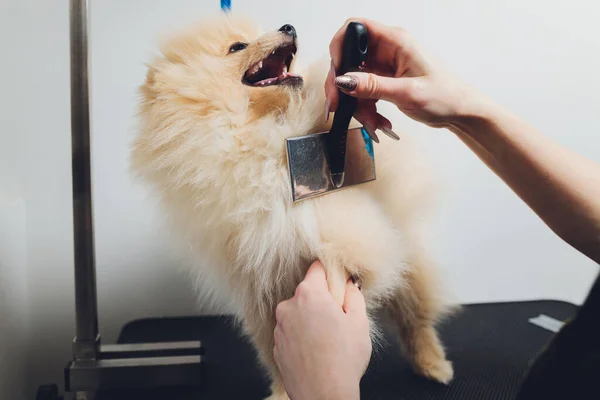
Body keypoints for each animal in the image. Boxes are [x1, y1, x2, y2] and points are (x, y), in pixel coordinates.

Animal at [131, 14, 458, 398]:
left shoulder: (342, 233)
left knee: (415, 316)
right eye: (237, 47)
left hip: (410, 256)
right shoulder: (262, 287)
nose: (288, 27)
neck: (259, 135)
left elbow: (338, 267)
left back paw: (434, 364)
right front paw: (284, 390)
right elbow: (275, 351)